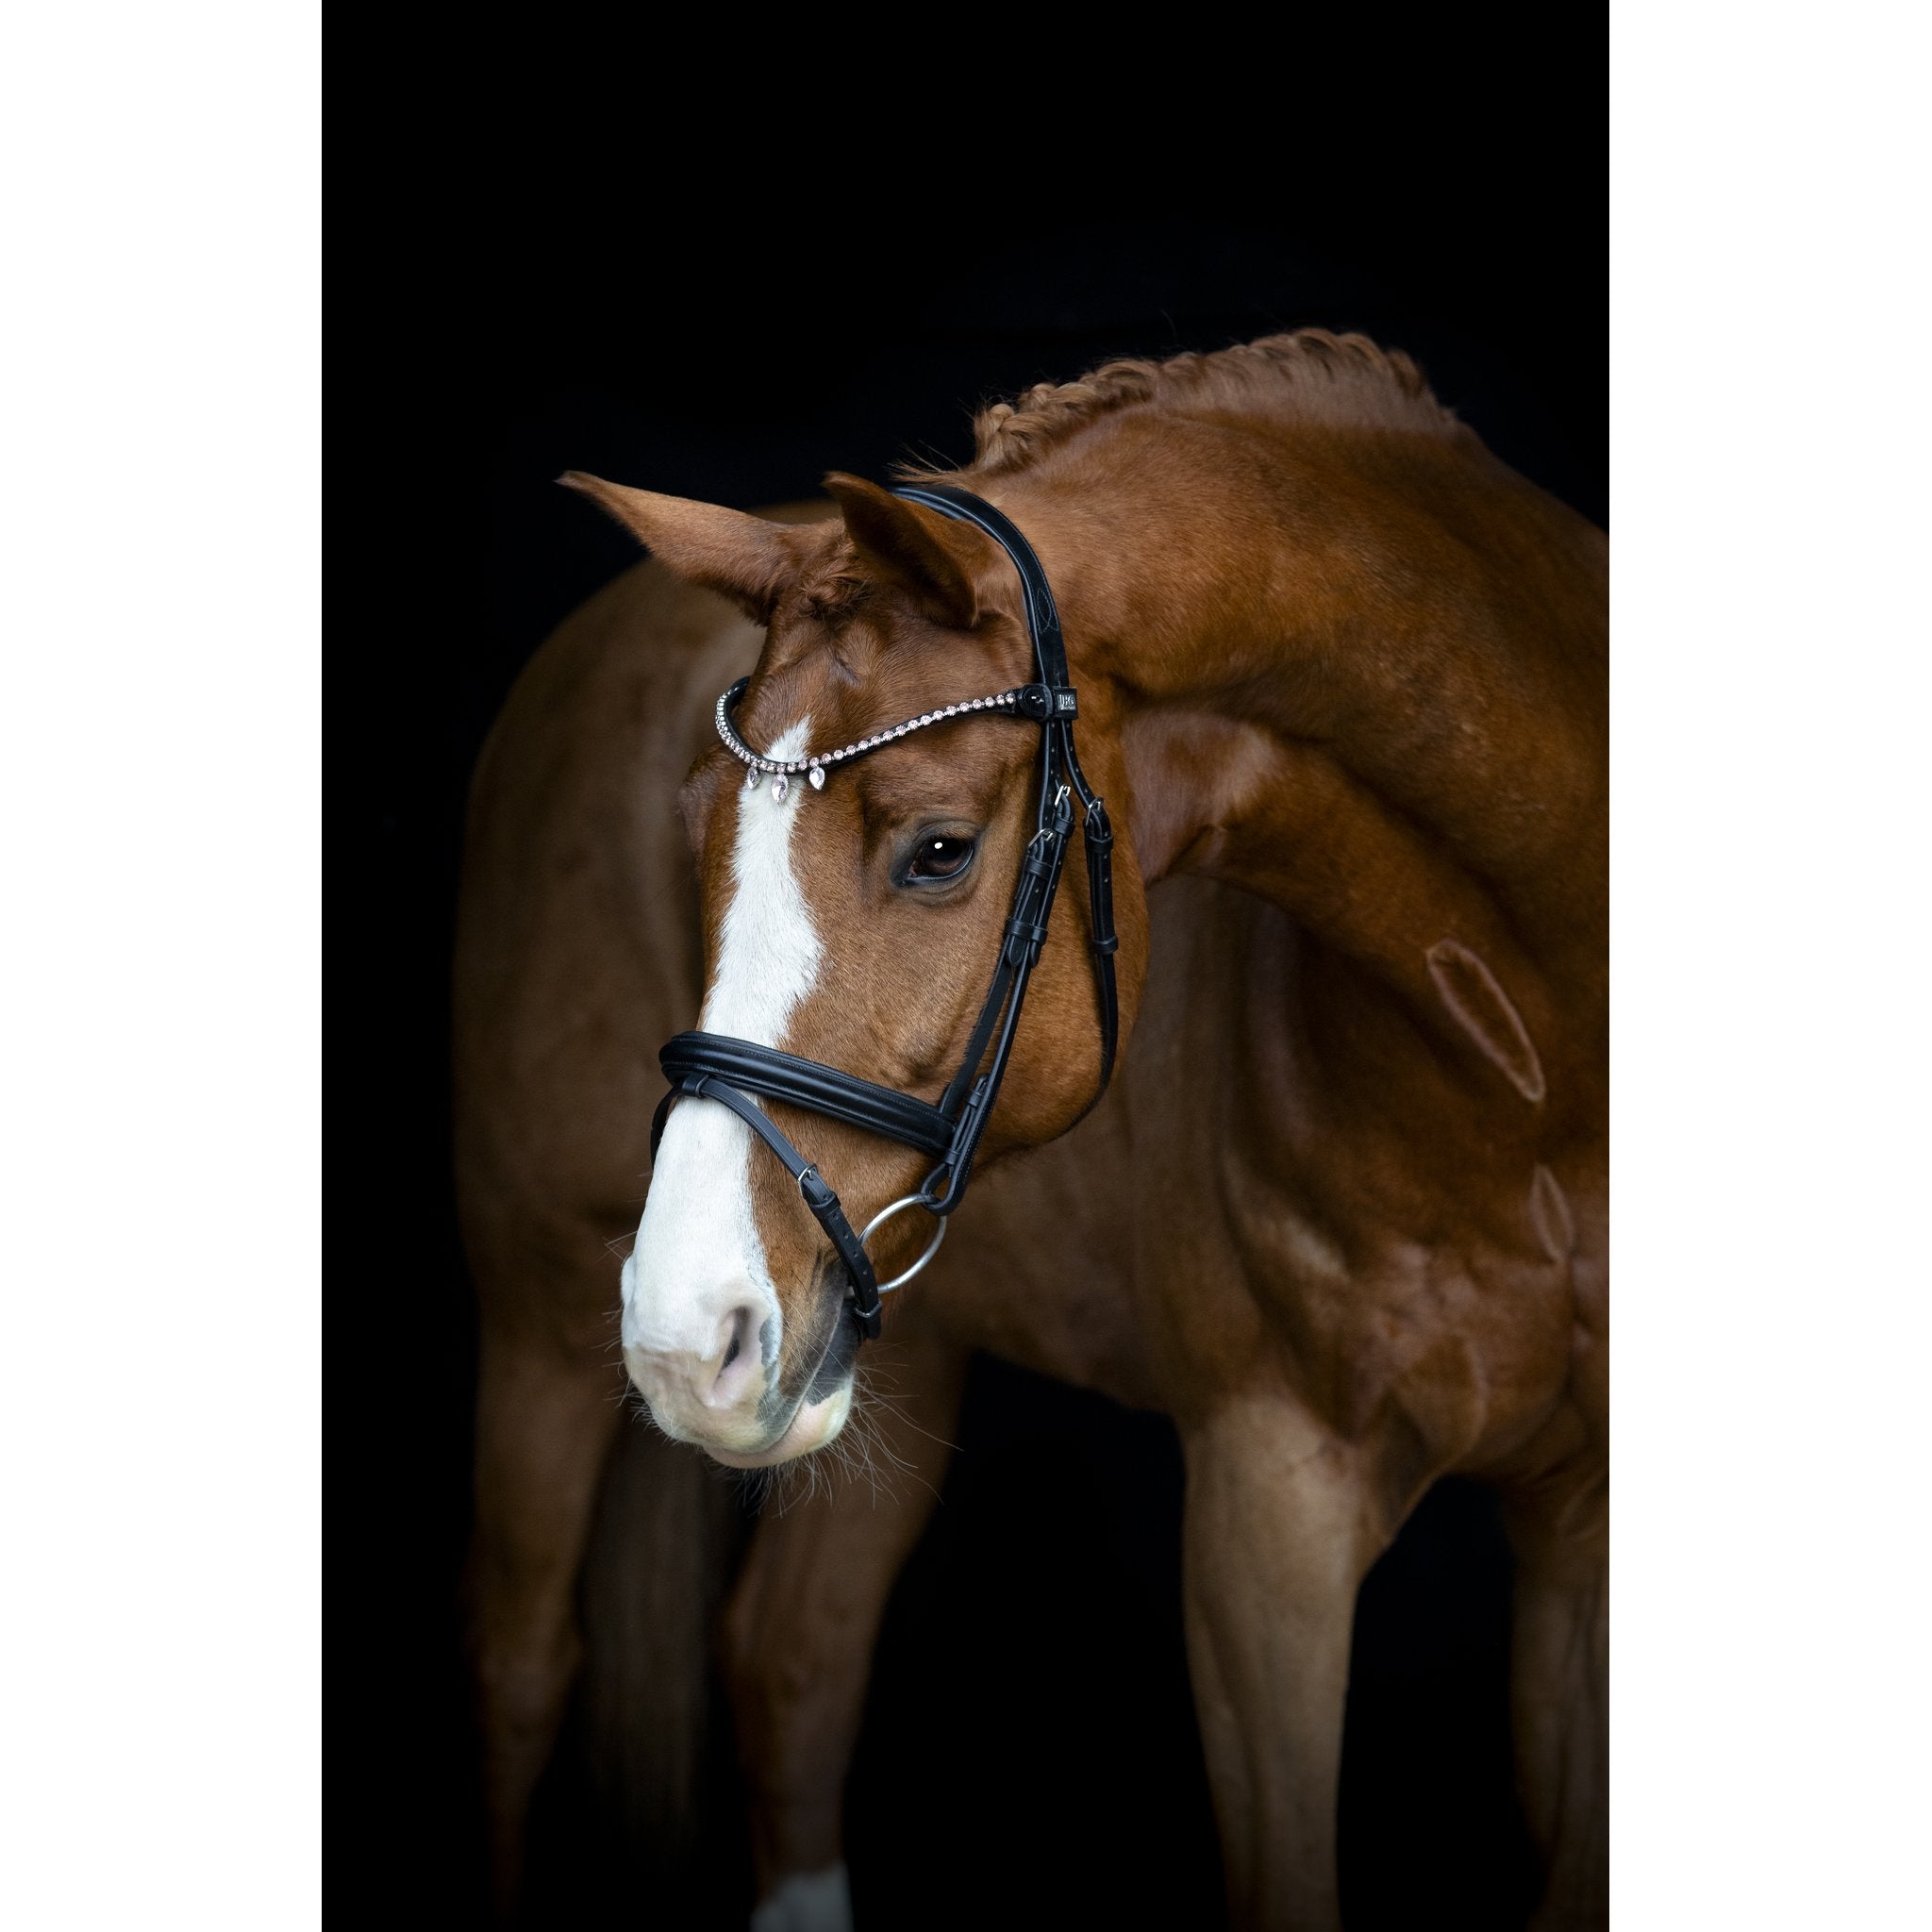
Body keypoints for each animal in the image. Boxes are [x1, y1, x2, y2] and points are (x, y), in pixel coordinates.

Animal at [454, 329, 1607, 1929]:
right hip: (543, 1310)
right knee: (521, 1677)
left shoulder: (1578, 1537)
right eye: (695, 828)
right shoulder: (1271, 1502)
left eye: (939, 850)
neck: (1535, 1081)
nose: (688, 1332)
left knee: (792, 1660)